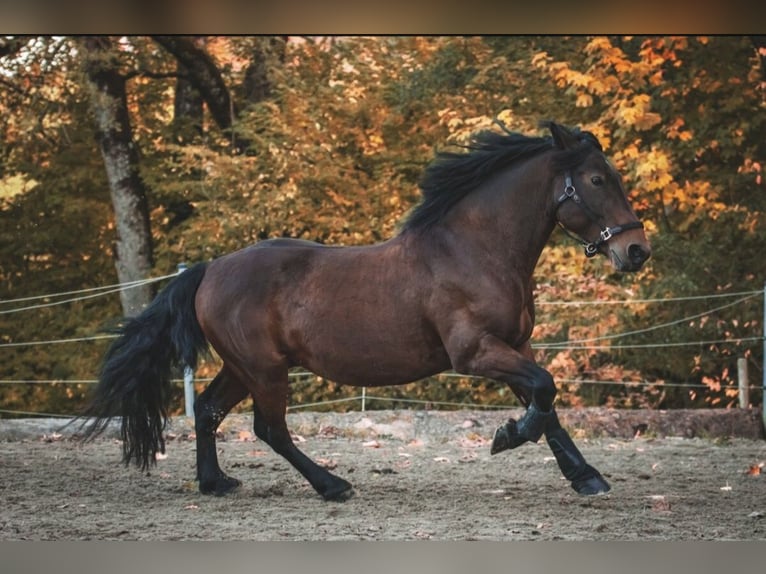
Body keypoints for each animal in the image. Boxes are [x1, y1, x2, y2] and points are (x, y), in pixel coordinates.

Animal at [78, 121, 651, 501]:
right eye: (598, 180)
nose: (637, 251)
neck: (476, 249)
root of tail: (211, 269)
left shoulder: (514, 346)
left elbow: (547, 405)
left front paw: (586, 477)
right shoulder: (477, 353)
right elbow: (545, 393)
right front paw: (507, 437)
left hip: (243, 367)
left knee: (210, 412)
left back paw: (215, 482)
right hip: (264, 369)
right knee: (270, 429)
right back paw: (332, 485)